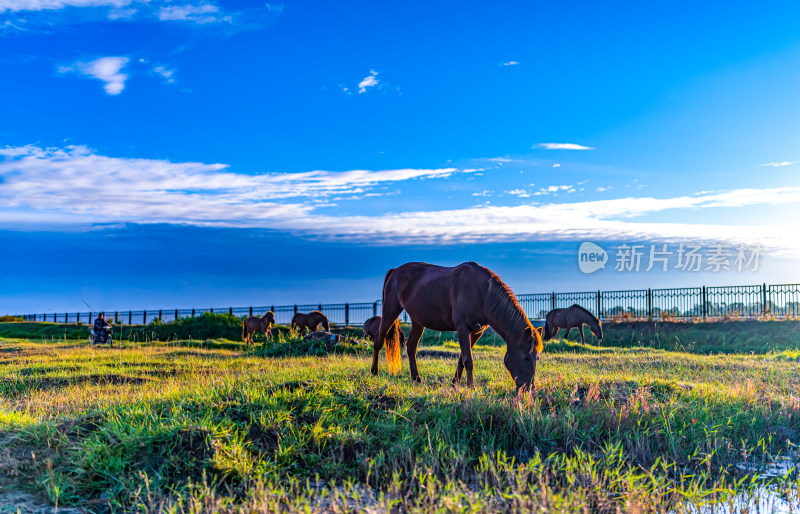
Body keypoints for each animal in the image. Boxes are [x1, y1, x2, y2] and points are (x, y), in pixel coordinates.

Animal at [374, 262, 544, 390]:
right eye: (525, 357)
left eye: (537, 357)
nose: (530, 388)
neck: (482, 293)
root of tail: (395, 271)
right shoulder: (463, 329)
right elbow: (468, 359)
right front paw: (471, 387)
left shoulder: (476, 332)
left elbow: (462, 359)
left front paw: (455, 383)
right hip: (390, 310)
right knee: (379, 341)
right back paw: (374, 372)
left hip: (417, 321)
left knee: (411, 347)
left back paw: (416, 379)